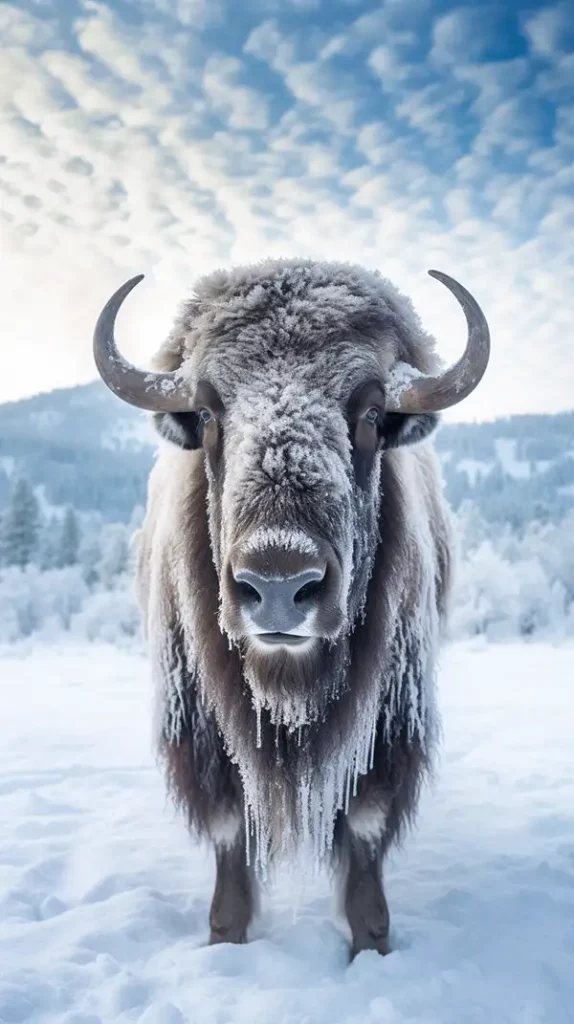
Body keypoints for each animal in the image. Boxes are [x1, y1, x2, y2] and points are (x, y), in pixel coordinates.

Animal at [93, 260, 487, 954]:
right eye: (208, 412)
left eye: (371, 412)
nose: (279, 584)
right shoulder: (201, 729)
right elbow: (229, 830)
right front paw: (226, 940)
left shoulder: (387, 725)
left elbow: (365, 829)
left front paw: (371, 946)